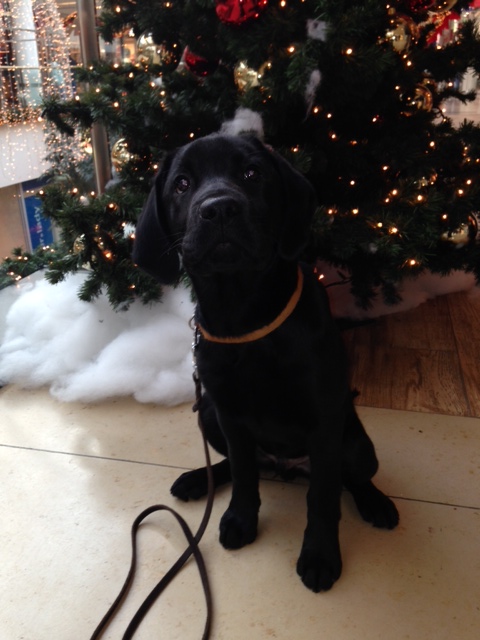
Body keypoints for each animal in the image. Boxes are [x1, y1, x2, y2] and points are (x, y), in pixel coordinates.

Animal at [133, 135, 400, 596]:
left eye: (252, 172)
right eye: (182, 183)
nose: (219, 208)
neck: (246, 319)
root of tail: (286, 468)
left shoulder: (324, 421)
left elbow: (323, 497)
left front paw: (320, 556)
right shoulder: (228, 412)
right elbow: (242, 475)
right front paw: (240, 520)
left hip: (357, 445)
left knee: (351, 478)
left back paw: (376, 503)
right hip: (207, 416)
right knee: (242, 466)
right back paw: (197, 480)